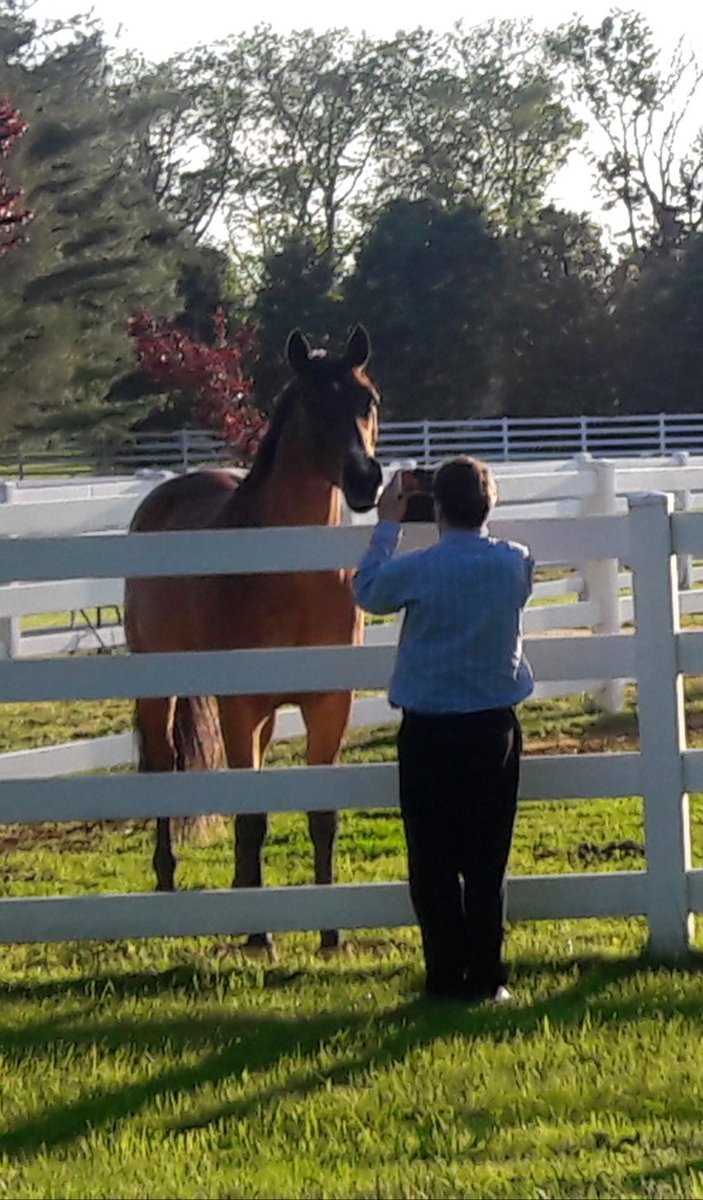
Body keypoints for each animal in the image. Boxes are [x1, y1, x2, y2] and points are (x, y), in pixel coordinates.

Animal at [124, 325, 382, 954]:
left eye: (368, 401)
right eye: (312, 403)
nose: (366, 478)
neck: (288, 573)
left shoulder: (329, 706)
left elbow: (320, 816)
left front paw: (331, 931)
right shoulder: (239, 705)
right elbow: (252, 817)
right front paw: (261, 935)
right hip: (160, 689)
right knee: (161, 768)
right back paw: (167, 888)